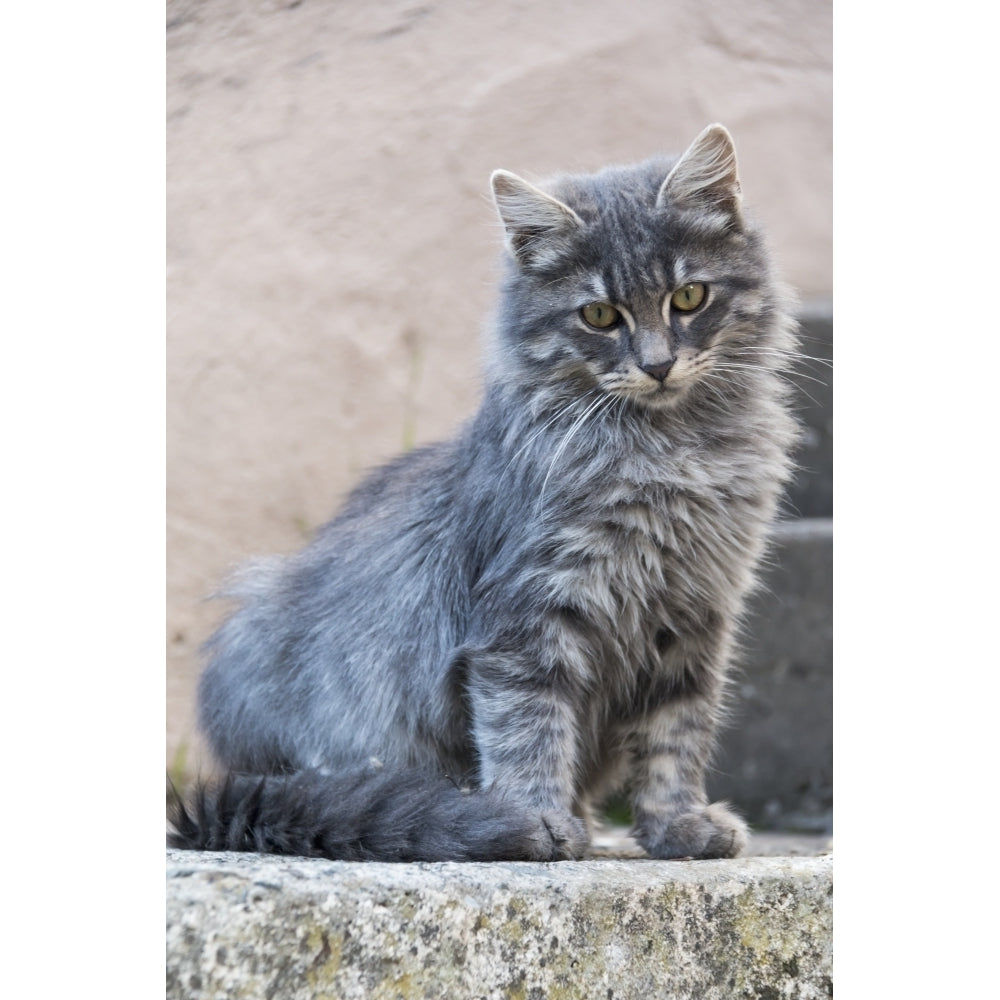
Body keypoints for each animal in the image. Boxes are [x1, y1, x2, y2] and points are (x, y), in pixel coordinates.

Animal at [170, 123, 796, 860]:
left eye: (689, 298)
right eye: (599, 315)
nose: (659, 365)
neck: (673, 453)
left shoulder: (693, 617)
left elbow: (676, 737)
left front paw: (678, 826)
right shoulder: (526, 615)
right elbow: (529, 727)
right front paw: (535, 822)